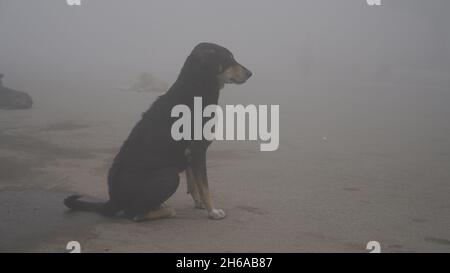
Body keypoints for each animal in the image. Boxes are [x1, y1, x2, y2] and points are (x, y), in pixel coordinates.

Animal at [63, 43, 253, 221]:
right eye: (228, 59)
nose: (250, 73)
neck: (196, 86)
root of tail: (112, 200)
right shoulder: (198, 149)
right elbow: (204, 186)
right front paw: (212, 211)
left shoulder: (190, 153)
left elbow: (194, 182)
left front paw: (199, 203)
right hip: (170, 176)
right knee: (134, 214)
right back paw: (166, 209)